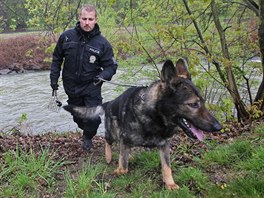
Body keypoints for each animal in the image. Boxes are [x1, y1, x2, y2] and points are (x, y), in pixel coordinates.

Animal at [63, 58, 221, 190]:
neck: (154, 116)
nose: (218, 127)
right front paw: (119, 170)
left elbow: (166, 167)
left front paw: (170, 184)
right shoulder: (125, 139)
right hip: (112, 133)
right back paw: (109, 156)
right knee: (108, 141)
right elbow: (123, 166)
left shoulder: (164, 145)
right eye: (193, 104)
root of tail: (109, 103)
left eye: (203, 102)